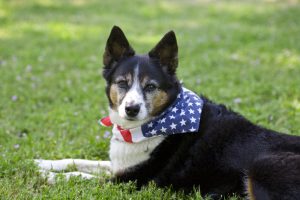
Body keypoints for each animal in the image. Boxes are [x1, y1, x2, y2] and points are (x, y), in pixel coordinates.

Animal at [36, 25, 300, 199]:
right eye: (122, 83)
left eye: (150, 87)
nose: (131, 109)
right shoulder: (119, 166)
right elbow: (80, 161)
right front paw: (42, 162)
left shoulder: (130, 182)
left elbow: (81, 176)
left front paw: (48, 177)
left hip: (261, 168)